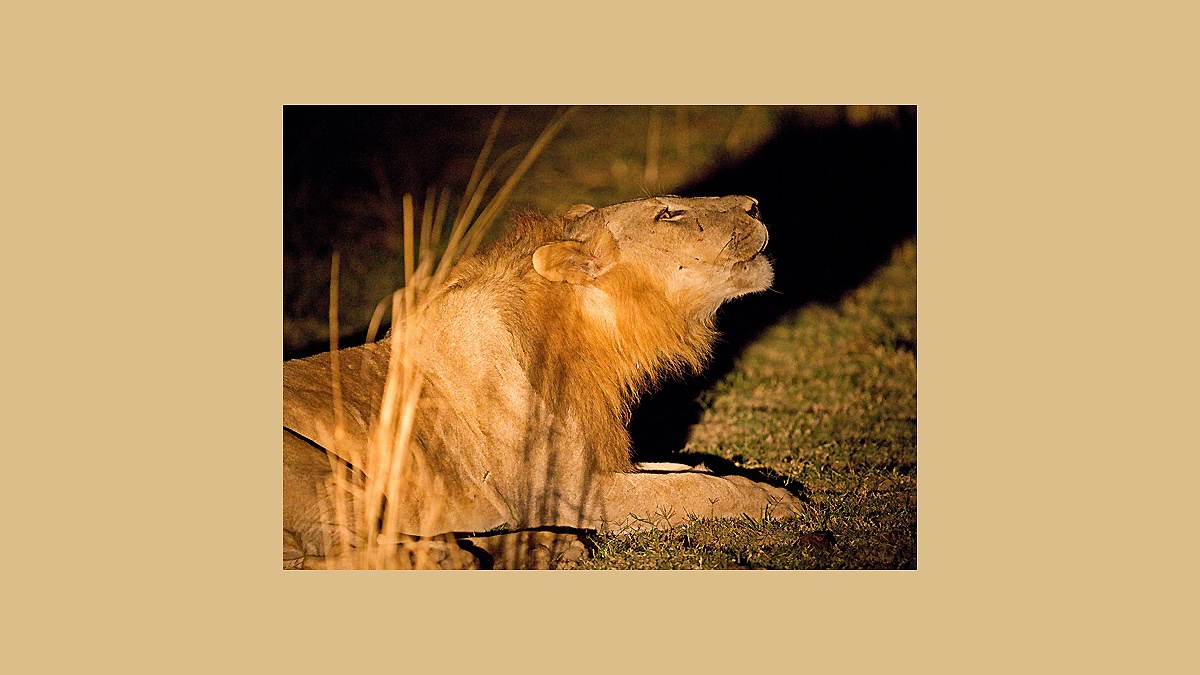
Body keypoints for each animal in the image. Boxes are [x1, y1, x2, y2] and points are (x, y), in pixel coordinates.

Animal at [283, 195, 803, 568]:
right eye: (669, 213)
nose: (755, 205)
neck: (593, 337)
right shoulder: (569, 490)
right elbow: (690, 490)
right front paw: (775, 501)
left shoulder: (604, 458)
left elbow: (692, 471)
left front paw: (761, 484)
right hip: (312, 463)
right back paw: (461, 554)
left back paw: (545, 547)